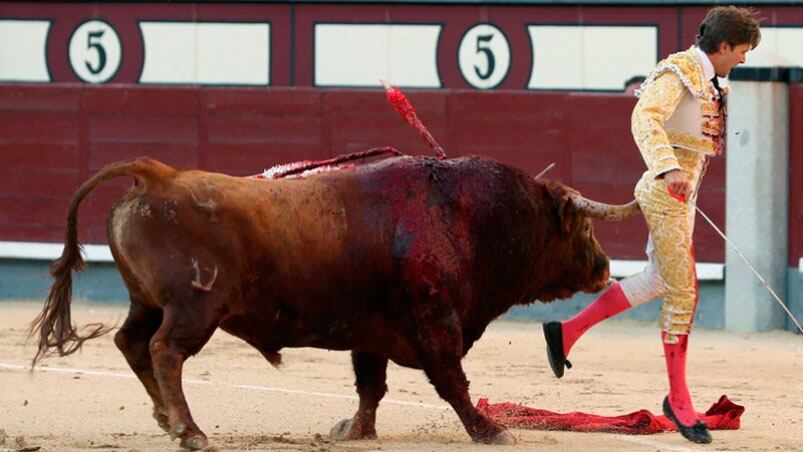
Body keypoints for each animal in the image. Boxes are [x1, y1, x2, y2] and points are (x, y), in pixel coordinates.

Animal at [31, 154, 640, 448]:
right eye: (582, 226)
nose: (604, 267)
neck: (467, 215)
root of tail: (157, 178)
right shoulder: (435, 321)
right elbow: (452, 381)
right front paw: (490, 431)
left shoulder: (373, 331)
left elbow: (371, 385)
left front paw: (355, 431)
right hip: (193, 309)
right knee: (165, 352)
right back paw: (190, 432)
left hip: (147, 302)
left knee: (131, 342)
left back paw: (164, 417)